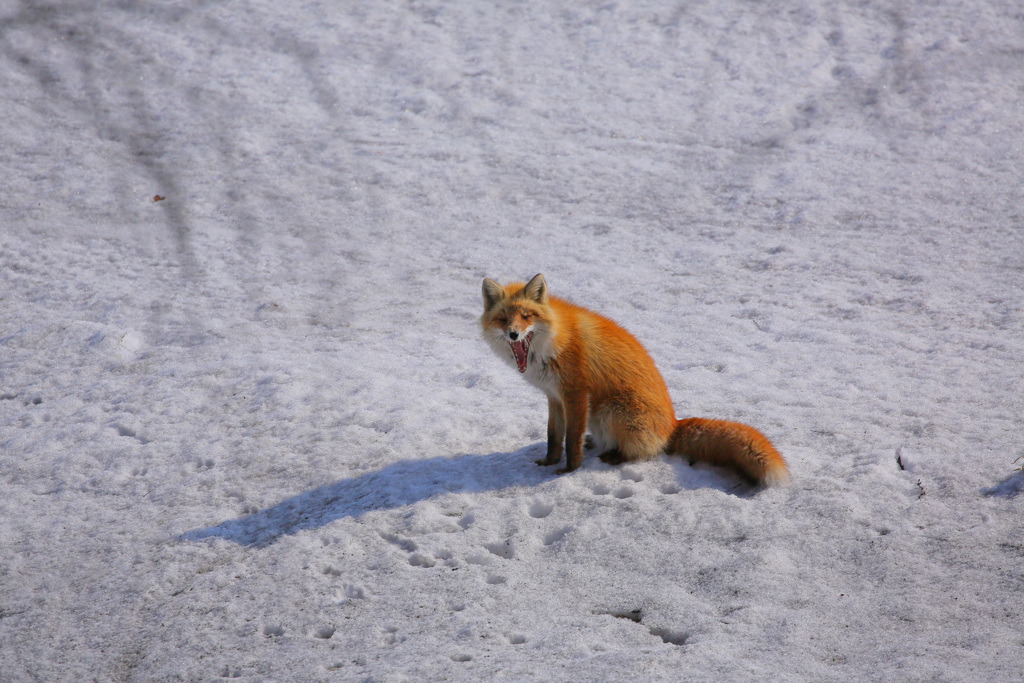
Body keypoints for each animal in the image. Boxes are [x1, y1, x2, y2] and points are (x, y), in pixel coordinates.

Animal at [481, 274, 790, 485]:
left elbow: (571, 438)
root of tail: (673, 425)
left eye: (526, 316)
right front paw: (549, 462)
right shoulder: (554, 396)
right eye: (504, 319)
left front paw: (569, 470)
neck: (553, 342)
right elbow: (554, 436)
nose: (514, 334)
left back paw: (615, 455)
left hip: (610, 410)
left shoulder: (576, 393)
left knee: (644, 452)